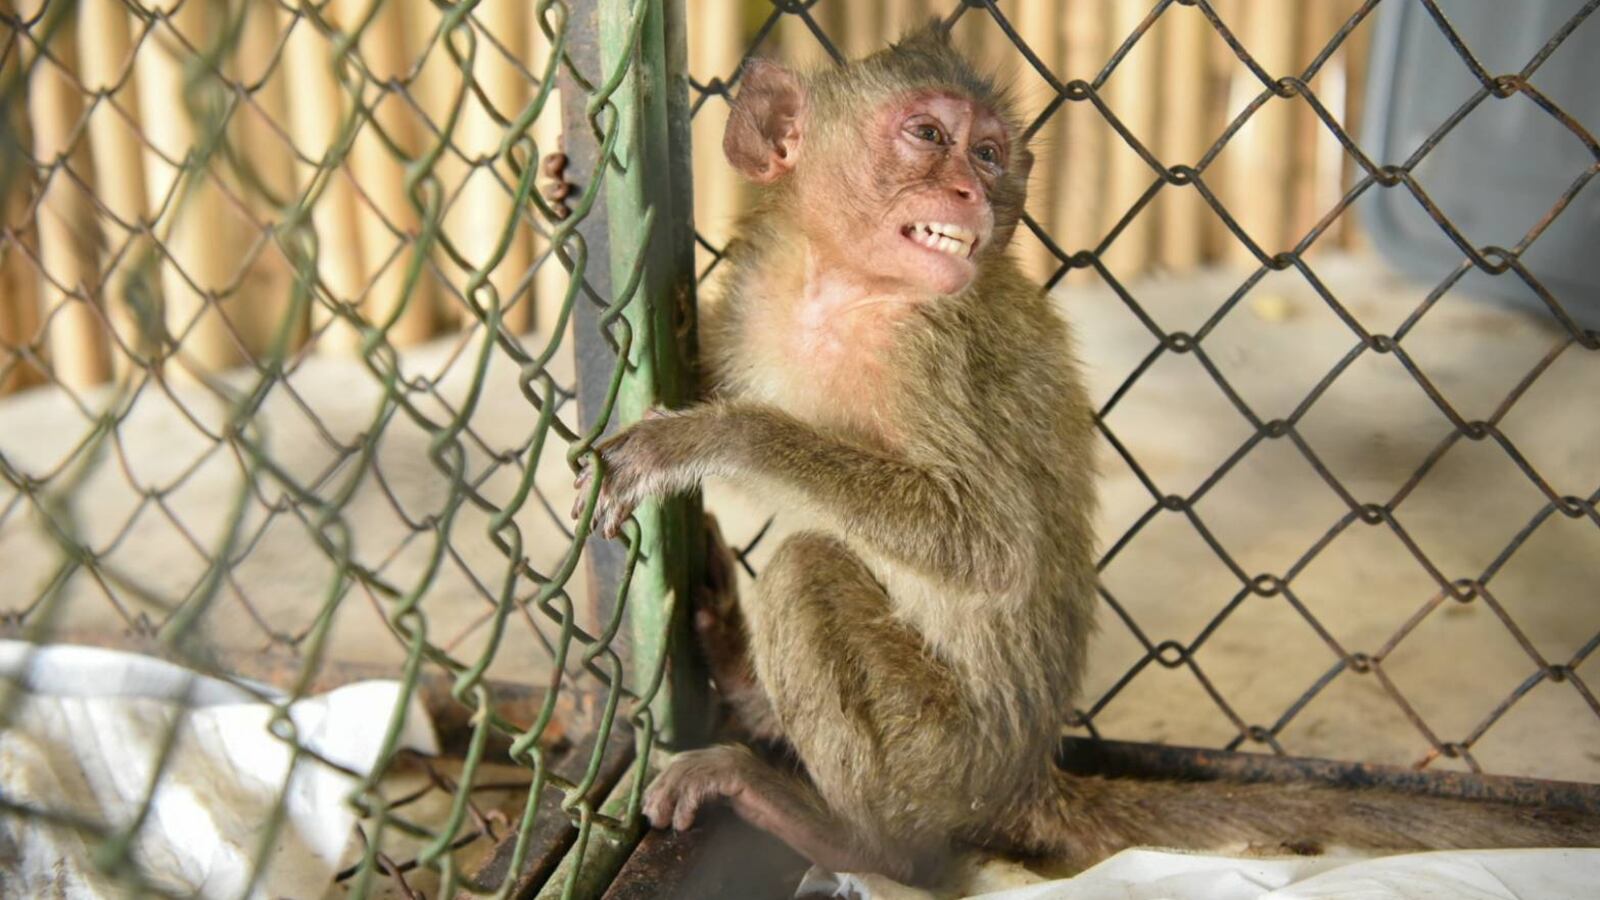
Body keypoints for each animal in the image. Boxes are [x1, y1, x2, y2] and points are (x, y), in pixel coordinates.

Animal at [572, 26, 1600, 886]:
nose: (972, 192)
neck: (845, 289)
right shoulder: (753, 290)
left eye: (989, 154)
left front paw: (708, 439)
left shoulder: (932, 353)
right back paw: (747, 688)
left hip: (945, 758)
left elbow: (991, 549)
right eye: (928, 136)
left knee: (807, 575)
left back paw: (865, 845)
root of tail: (1028, 774)